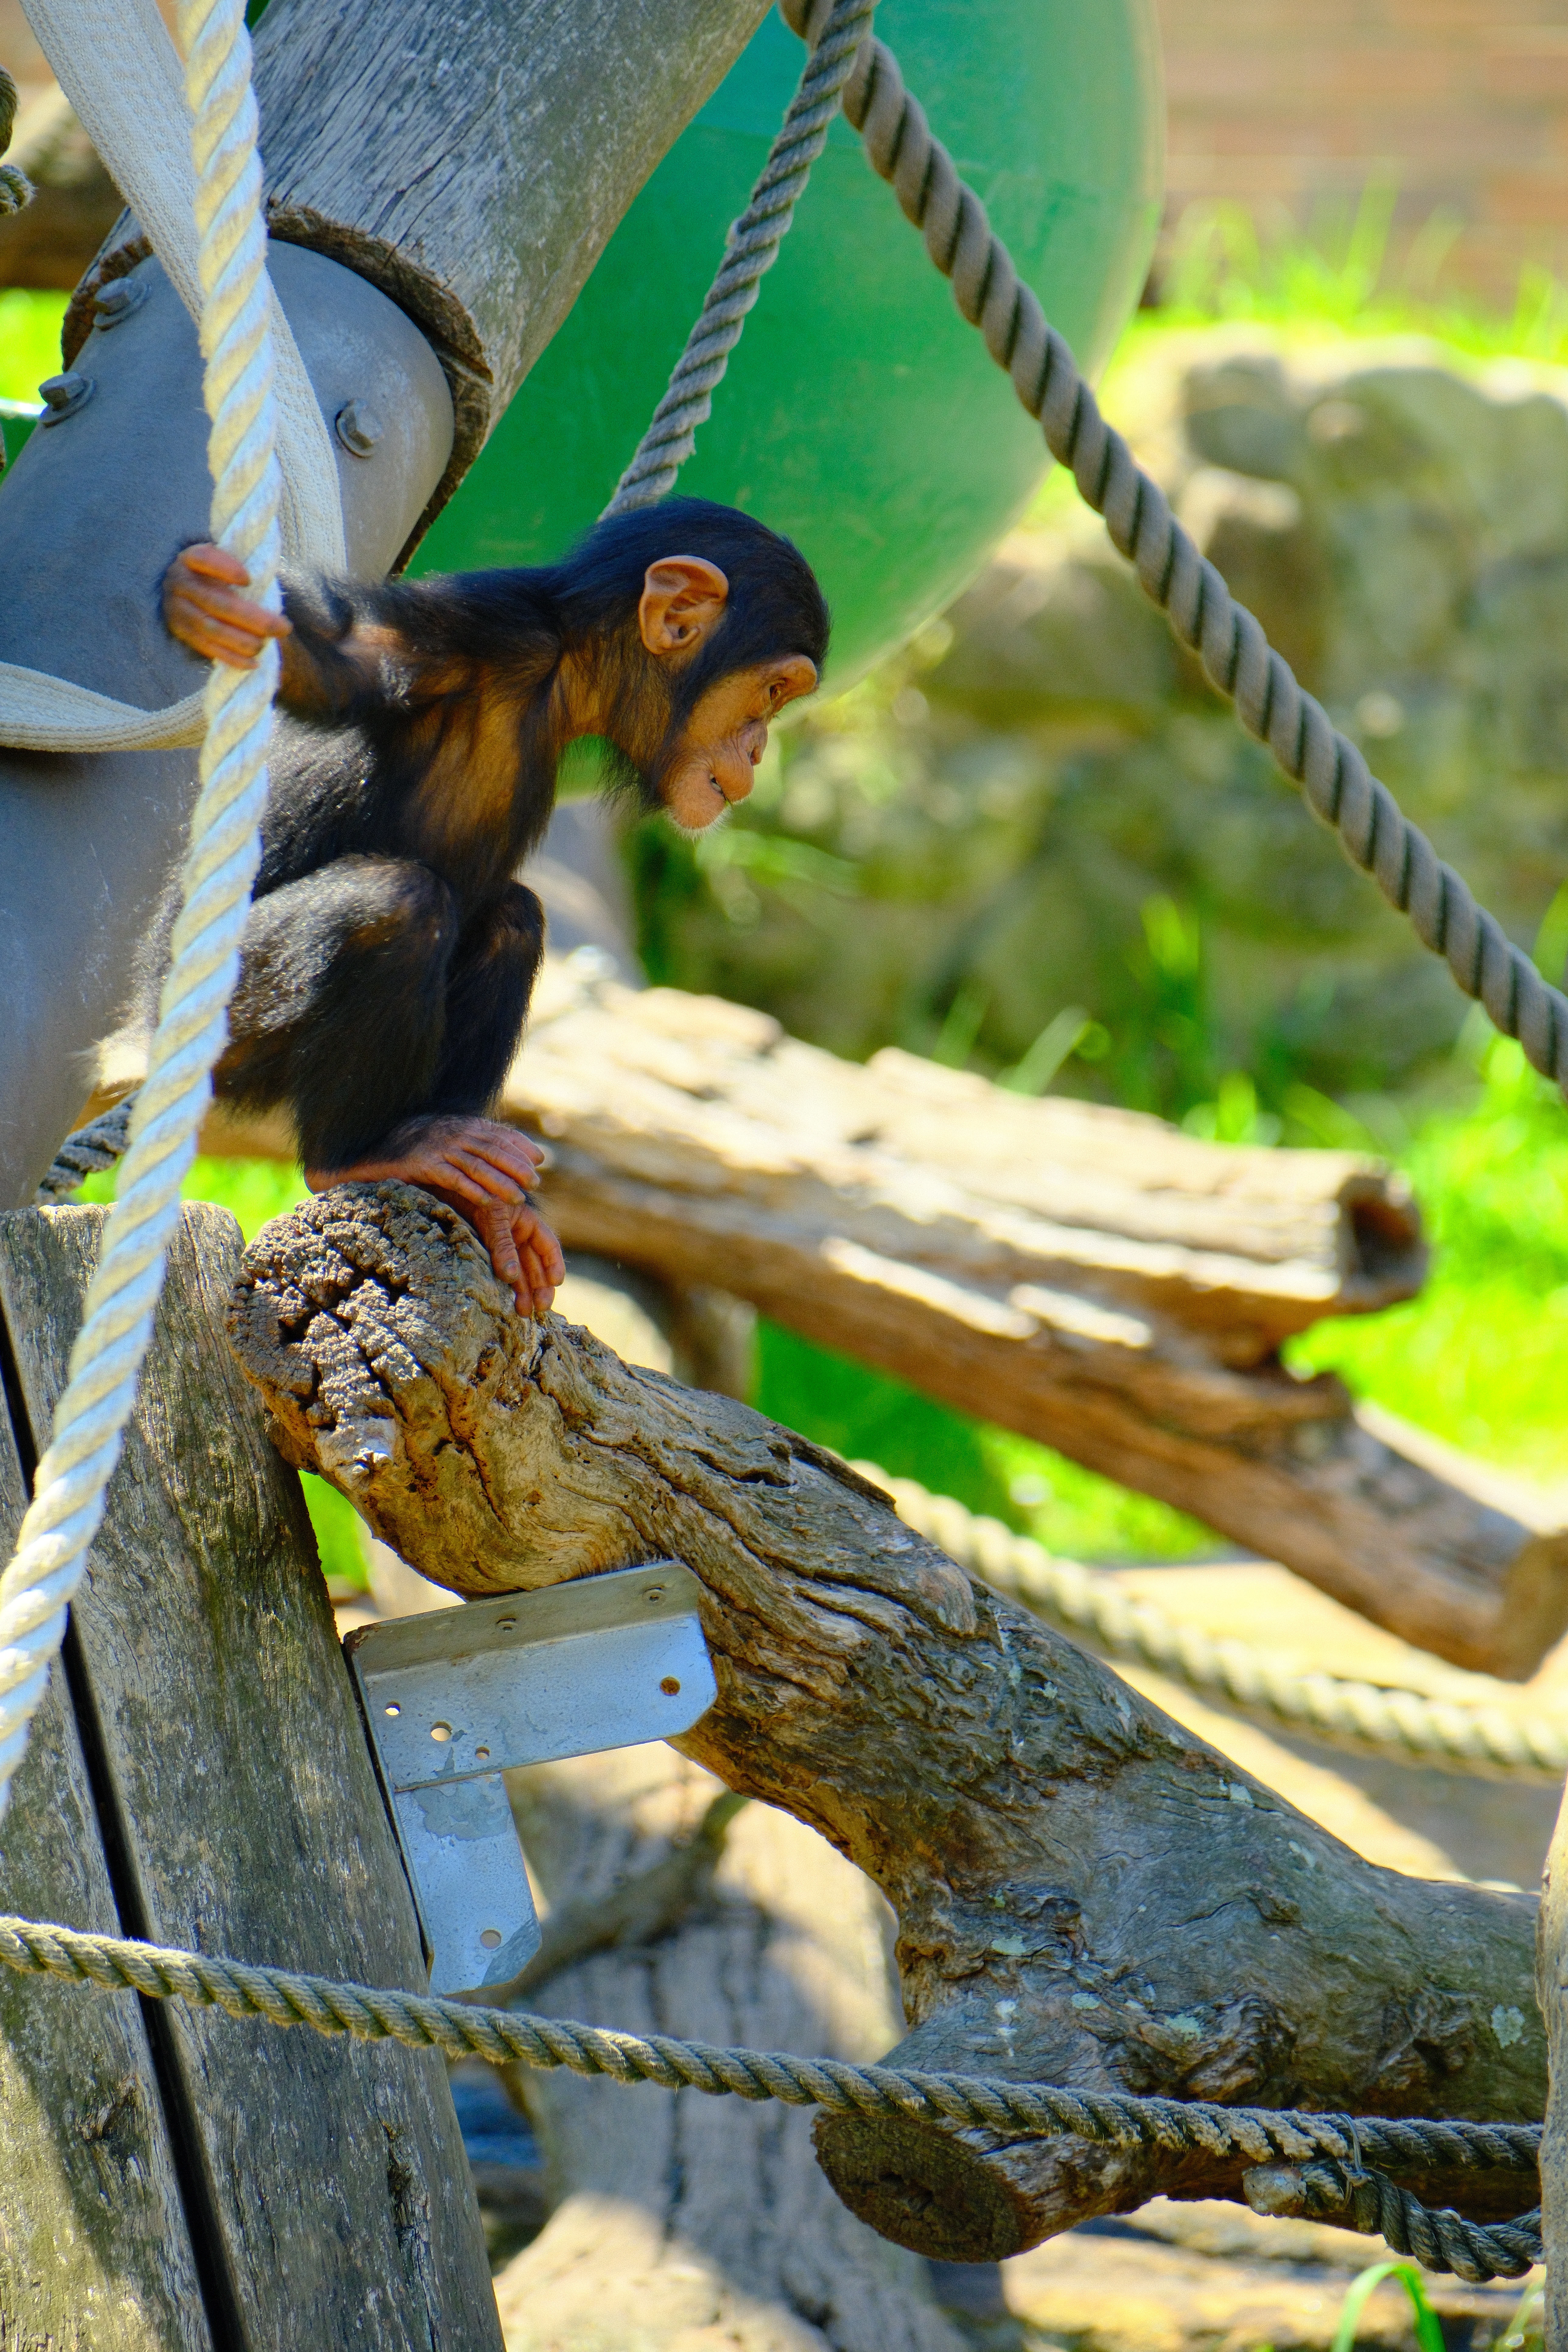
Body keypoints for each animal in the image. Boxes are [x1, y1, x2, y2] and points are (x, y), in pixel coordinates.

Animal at [159, 497, 829, 1315]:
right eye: (772, 692)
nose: (761, 748)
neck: (565, 673)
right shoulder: (470, 633)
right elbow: (339, 657)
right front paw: (206, 601)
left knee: (515, 920)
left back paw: (479, 1191)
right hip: (226, 1020)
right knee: (395, 903)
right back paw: (362, 1154)